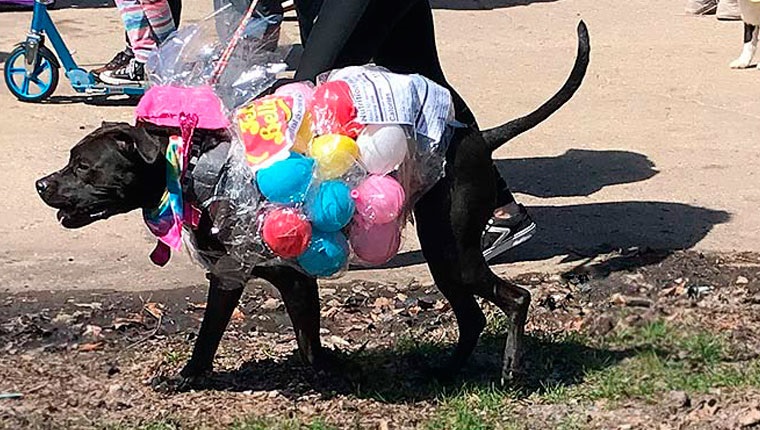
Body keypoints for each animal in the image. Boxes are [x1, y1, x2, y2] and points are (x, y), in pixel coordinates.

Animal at [35, 21, 592, 388]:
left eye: (83, 166)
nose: (42, 184)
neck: (193, 166)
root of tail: (477, 137)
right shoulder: (274, 277)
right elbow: (300, 343)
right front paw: (323, 374)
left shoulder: (258, 276)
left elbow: (214, 336)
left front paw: (188, 378)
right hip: (444, 259)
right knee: (473, 317)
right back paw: (447, 371)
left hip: (453, 250)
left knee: (516, 299)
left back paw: (509, 373)